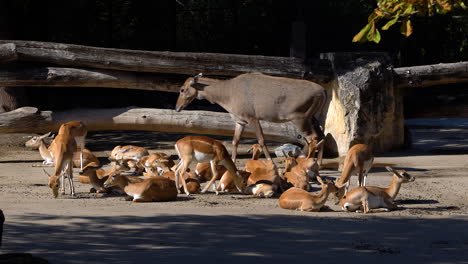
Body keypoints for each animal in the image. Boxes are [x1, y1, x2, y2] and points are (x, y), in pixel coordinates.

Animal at [175, 72, 326, 165]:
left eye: (182, 89)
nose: (177, 108)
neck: (227, 94)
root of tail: (323, 91)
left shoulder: (252, 118)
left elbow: (261, 140)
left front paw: (271, 163)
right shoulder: (240, 121)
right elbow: (235, 141)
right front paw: (233, 162)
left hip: (300, 118)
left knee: (313, 138)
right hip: (312, 117)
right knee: (322, 136)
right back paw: (318, 164)